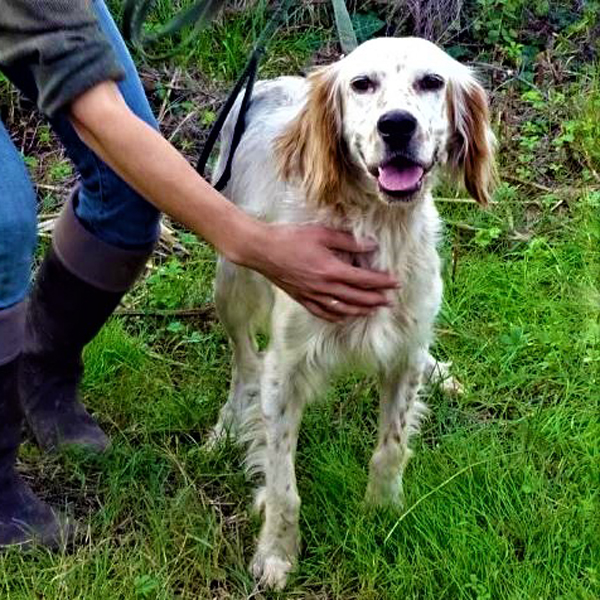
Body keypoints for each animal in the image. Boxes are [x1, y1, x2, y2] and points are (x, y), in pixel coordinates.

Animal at [209, 37, 495, 589]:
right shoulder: (285, 371)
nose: (397, 124)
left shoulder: (402, 355)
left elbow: (391, 446)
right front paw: (277, 553)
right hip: (231, 276)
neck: (378, 227)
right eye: (361, 84)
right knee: (242, 359)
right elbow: (283, 483)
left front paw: (383, 513)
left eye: (432, 81)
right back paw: (228, 423)